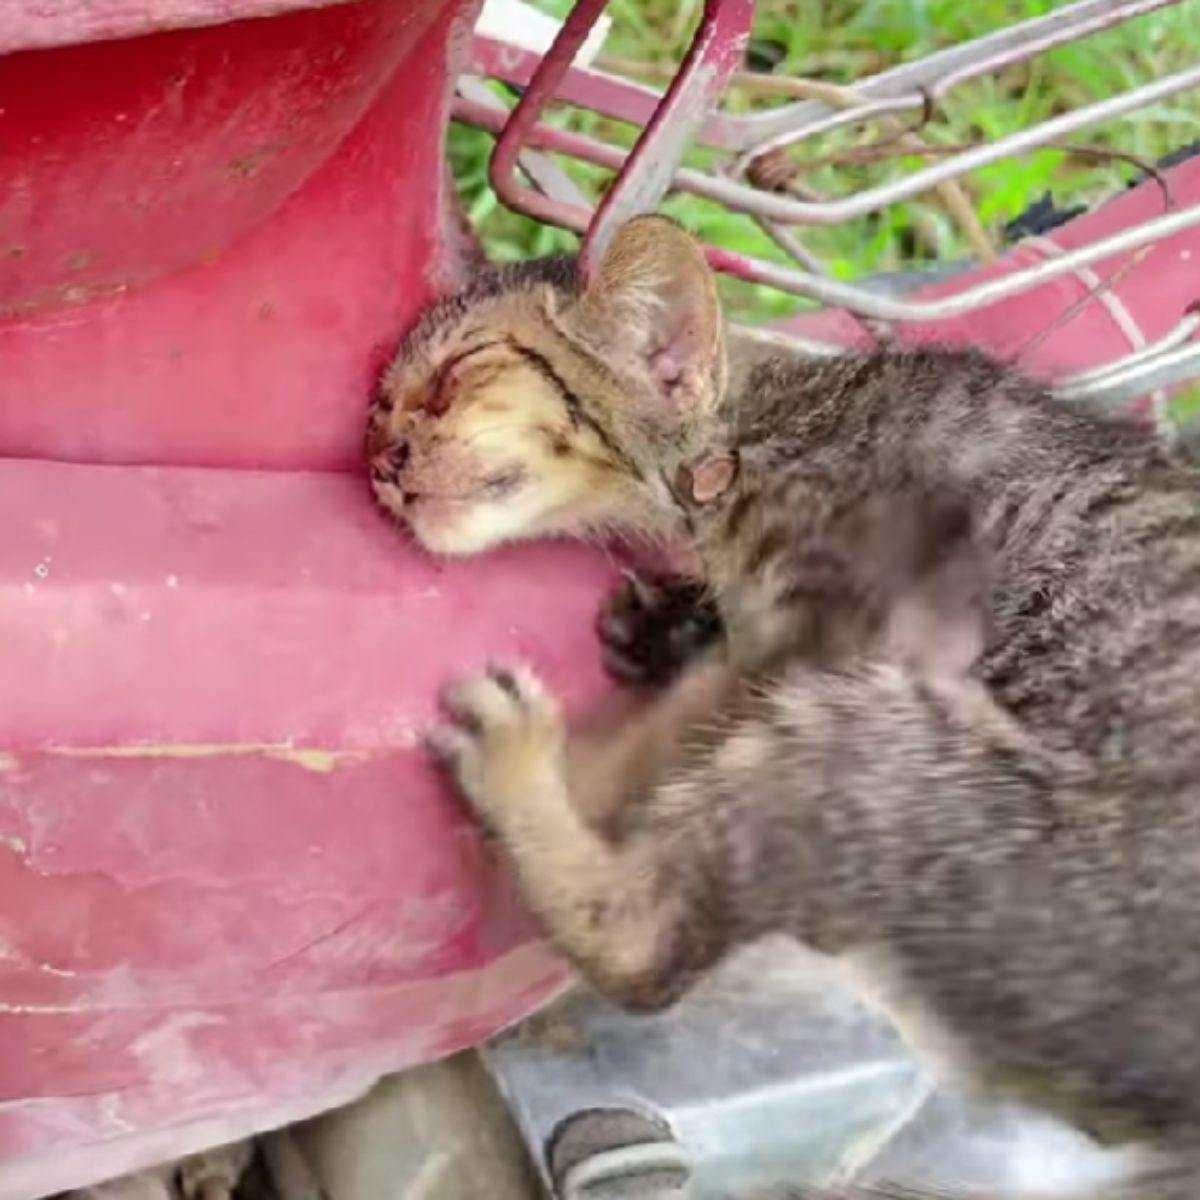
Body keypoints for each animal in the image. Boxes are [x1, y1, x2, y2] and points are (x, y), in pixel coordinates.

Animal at [369, 220, 1200, 1195]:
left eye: (458, 375)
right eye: (380, 408)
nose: (380, 461)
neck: (759, 434)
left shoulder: (863, 621)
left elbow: (680, 729)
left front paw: (610, 746)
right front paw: (671, 626)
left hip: (880, 745)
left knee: (646, 956)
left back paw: (519, 766)